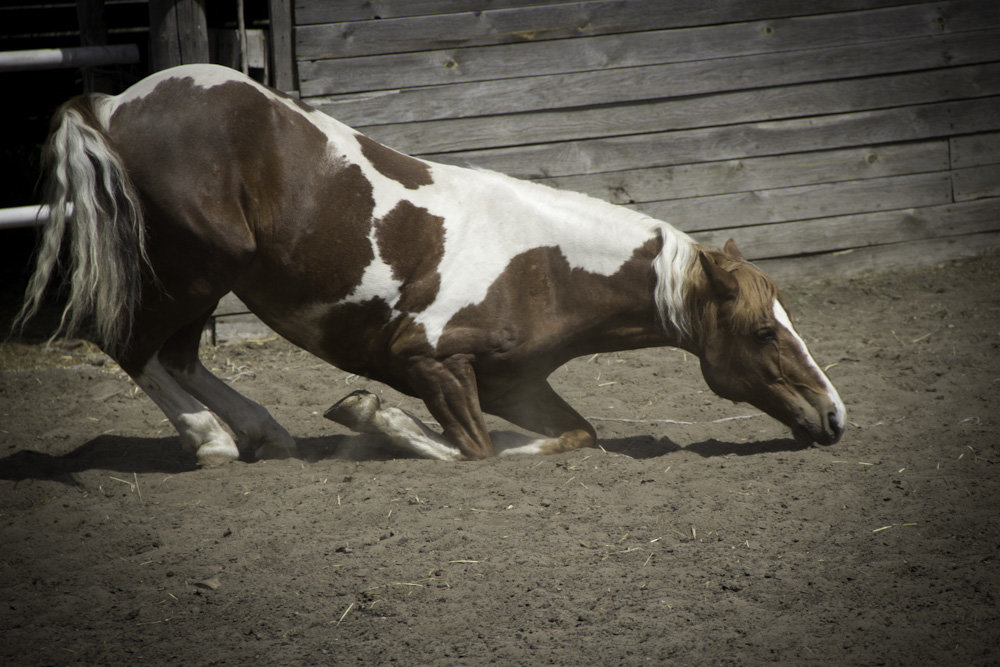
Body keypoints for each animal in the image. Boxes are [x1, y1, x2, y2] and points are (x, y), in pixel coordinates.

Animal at [15, 65, 844, 468]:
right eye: (765, 332)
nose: (835, 415)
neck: (542, 267)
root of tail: (112, 103)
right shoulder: (430, 359)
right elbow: (471, 451)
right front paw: (369, 414)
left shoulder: (515, 383)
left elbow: (571, 437)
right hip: (199, 263)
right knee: (127, 343)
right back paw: (214, 442)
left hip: (208, 276)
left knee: (177, 354)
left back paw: (262, 433)